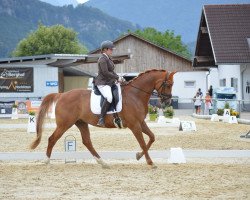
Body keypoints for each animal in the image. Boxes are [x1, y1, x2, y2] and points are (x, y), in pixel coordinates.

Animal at [30, 69, 175, 168]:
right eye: (168, 84)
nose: (167, 102)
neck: (136, 95)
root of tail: (61, 95)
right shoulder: (134, 125)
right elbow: (143, 143)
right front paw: (150, 163)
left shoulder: (141, 122)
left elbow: (152, 137)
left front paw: (139, 156)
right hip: (64, 124)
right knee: (52, 139)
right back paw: (47, 161)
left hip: (81, 123)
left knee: (87, 142)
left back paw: (103, 162)